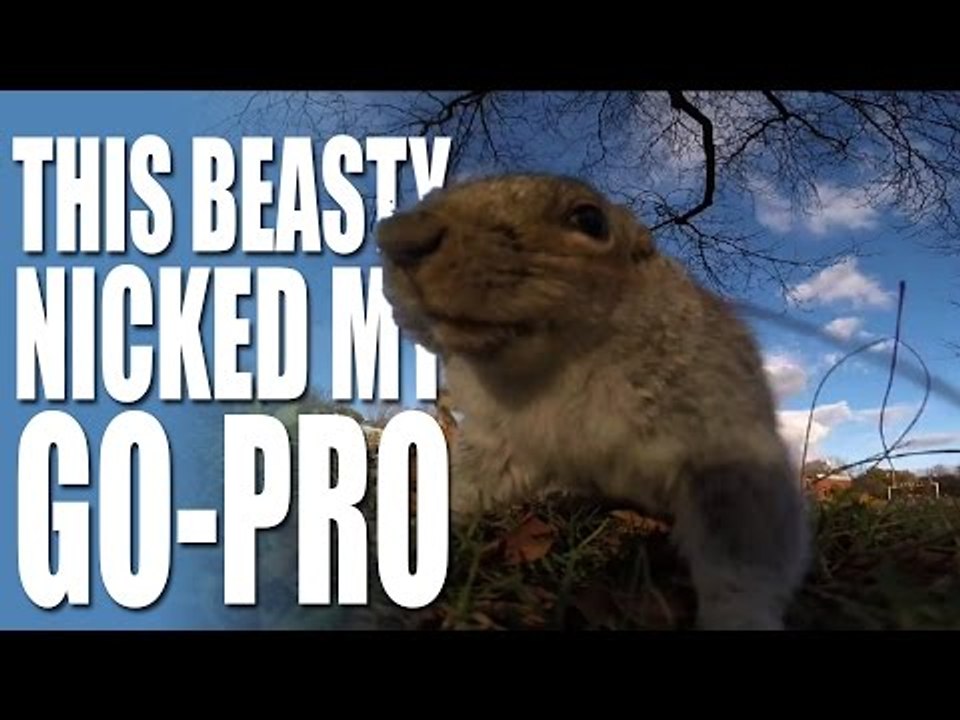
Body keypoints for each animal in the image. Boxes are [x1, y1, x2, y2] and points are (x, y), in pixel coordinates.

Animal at [375, 173, 811, 630]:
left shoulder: (726, 440)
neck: (564, 368)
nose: (398, 236)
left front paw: (741, 615)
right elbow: (469, 484)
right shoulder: (501, 440)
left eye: (590, 220)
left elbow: (744, 549)